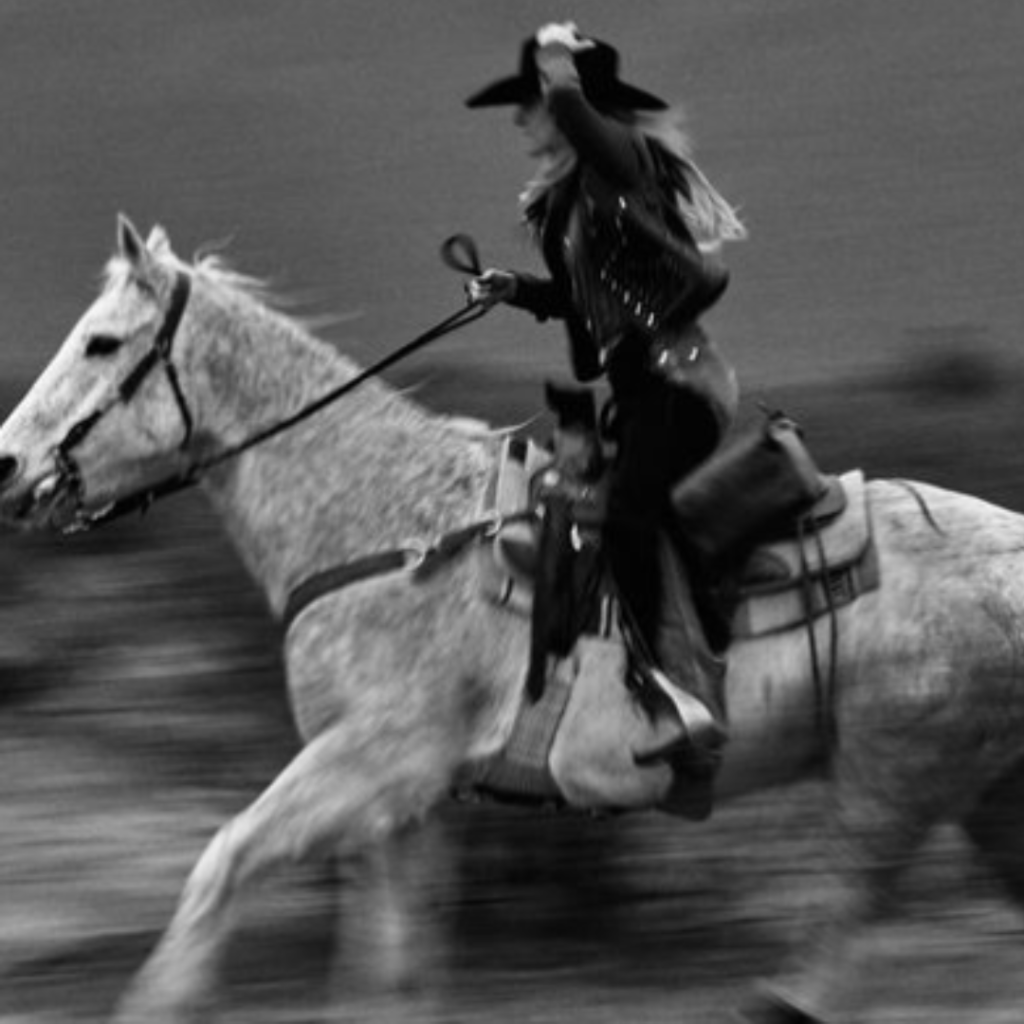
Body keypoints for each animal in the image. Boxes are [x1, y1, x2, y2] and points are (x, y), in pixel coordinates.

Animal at [2, 216, 1024, 1024]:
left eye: (101, 342)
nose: (9, 466)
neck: (392, 528)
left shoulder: (374, 760)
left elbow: (222, 864)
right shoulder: (402, 810)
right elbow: (389, 975)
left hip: (890, 783)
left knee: (835, 944)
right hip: (978, 799)